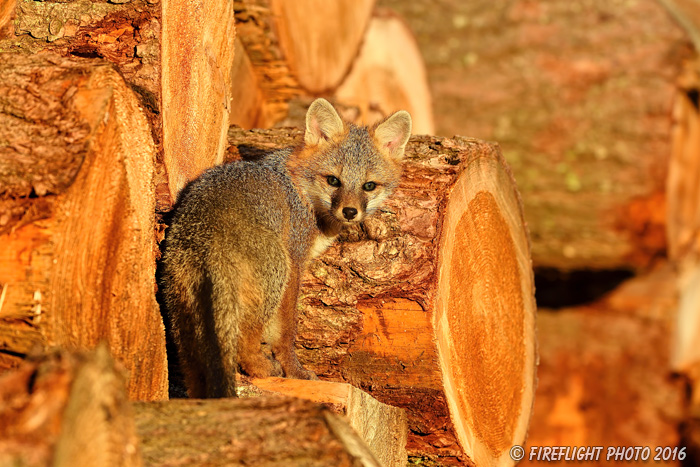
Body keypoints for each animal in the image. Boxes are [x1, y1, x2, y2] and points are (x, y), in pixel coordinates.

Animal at [160, 98, 410, 398]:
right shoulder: (296, 263)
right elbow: (286, 331)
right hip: (274, 279)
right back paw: (263, 368)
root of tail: (209, 237)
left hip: (183, 318)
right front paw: (296, 371)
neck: (299, 187)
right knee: (243, 343)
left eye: (369, 186)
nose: (350, 212)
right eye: (333, 180)